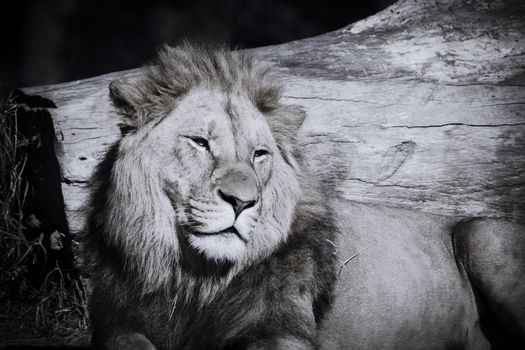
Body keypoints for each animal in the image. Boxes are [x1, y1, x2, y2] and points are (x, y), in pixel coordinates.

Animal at [83, 42, 524, 348]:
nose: (242, 202)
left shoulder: (283, 330)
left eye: (259, 154)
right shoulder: (119, 322)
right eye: (200, 143)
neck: (195, 280)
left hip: (483, 236)